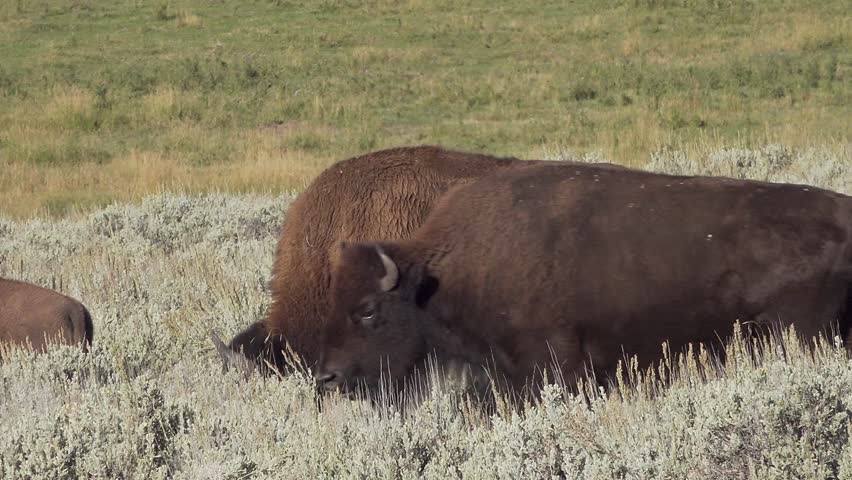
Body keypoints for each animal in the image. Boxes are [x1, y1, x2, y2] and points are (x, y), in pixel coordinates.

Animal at [316, 161, 852, 397]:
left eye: (368, 310)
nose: (327, 376)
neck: (439, 273)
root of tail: (843, 212)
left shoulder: (555, 366)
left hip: (802, 332)